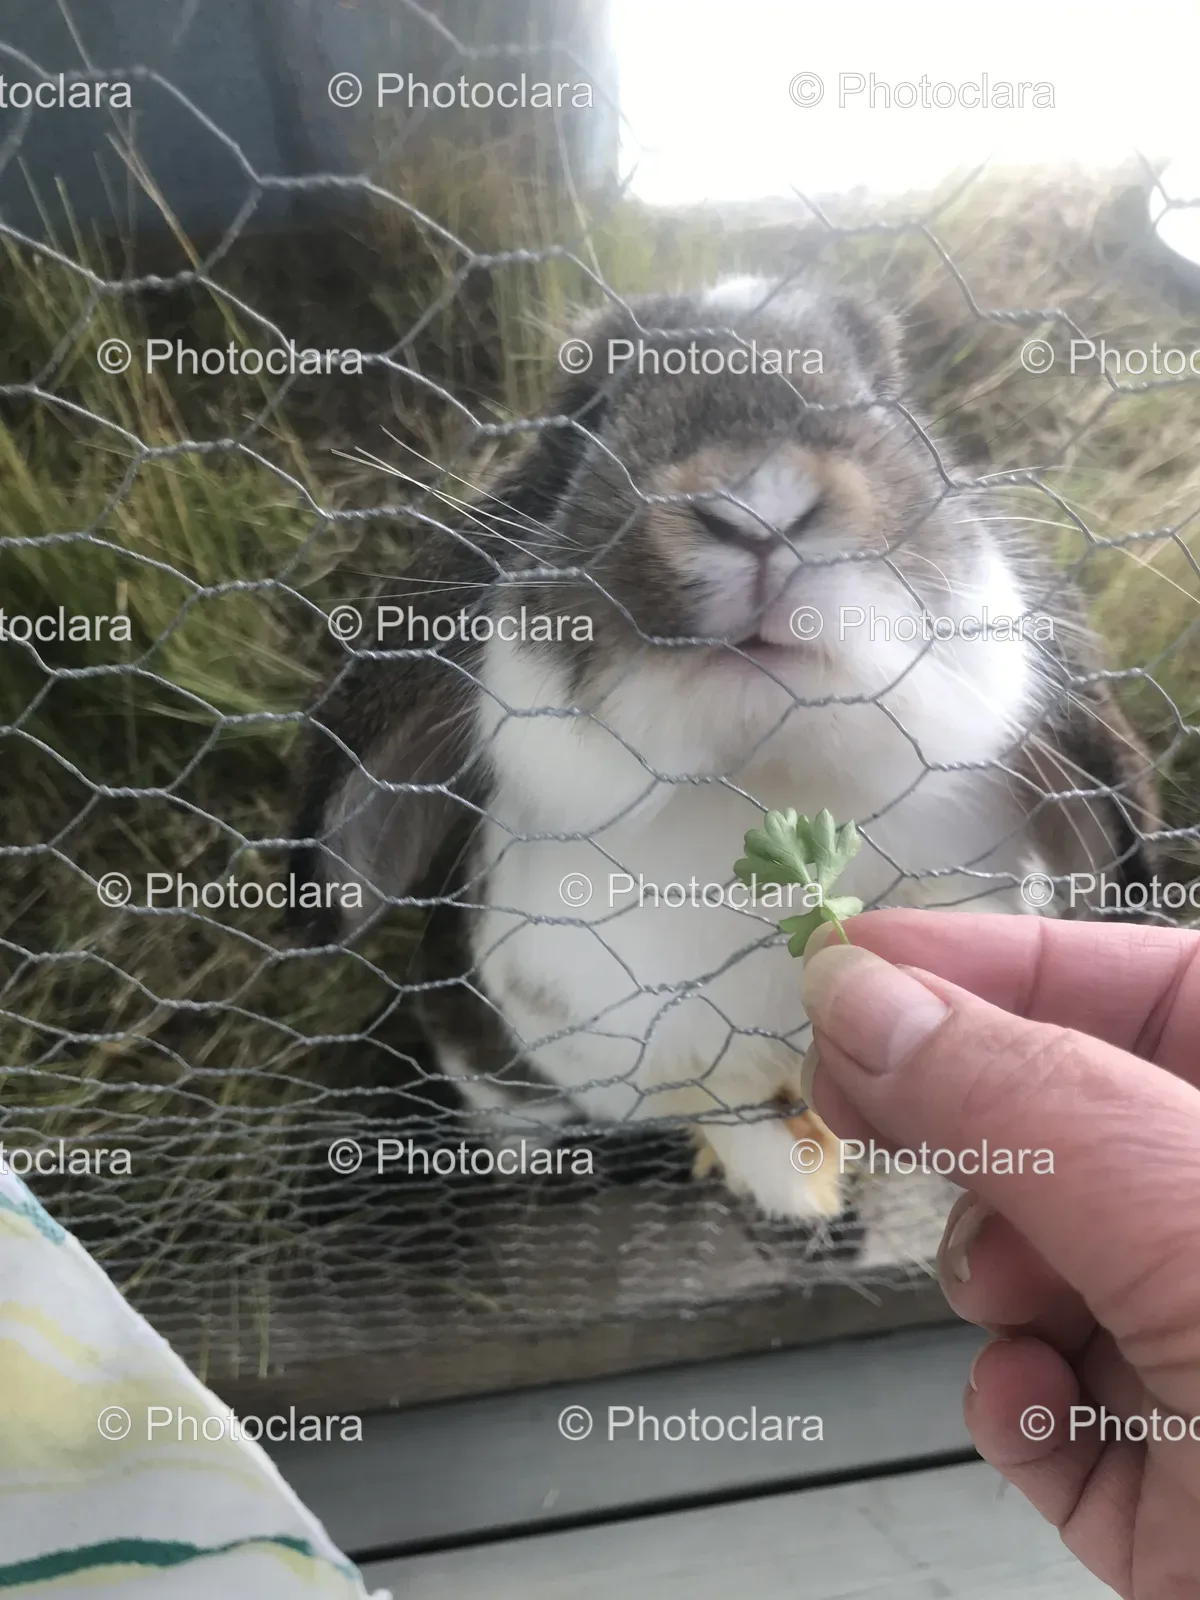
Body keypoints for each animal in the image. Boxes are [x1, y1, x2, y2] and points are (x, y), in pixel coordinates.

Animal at [292, 276, 1160, 1224]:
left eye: (887, 389)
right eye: (584, 407)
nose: (757, 505)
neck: (760, 782)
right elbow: (725, 1108)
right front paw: (794, 1182)